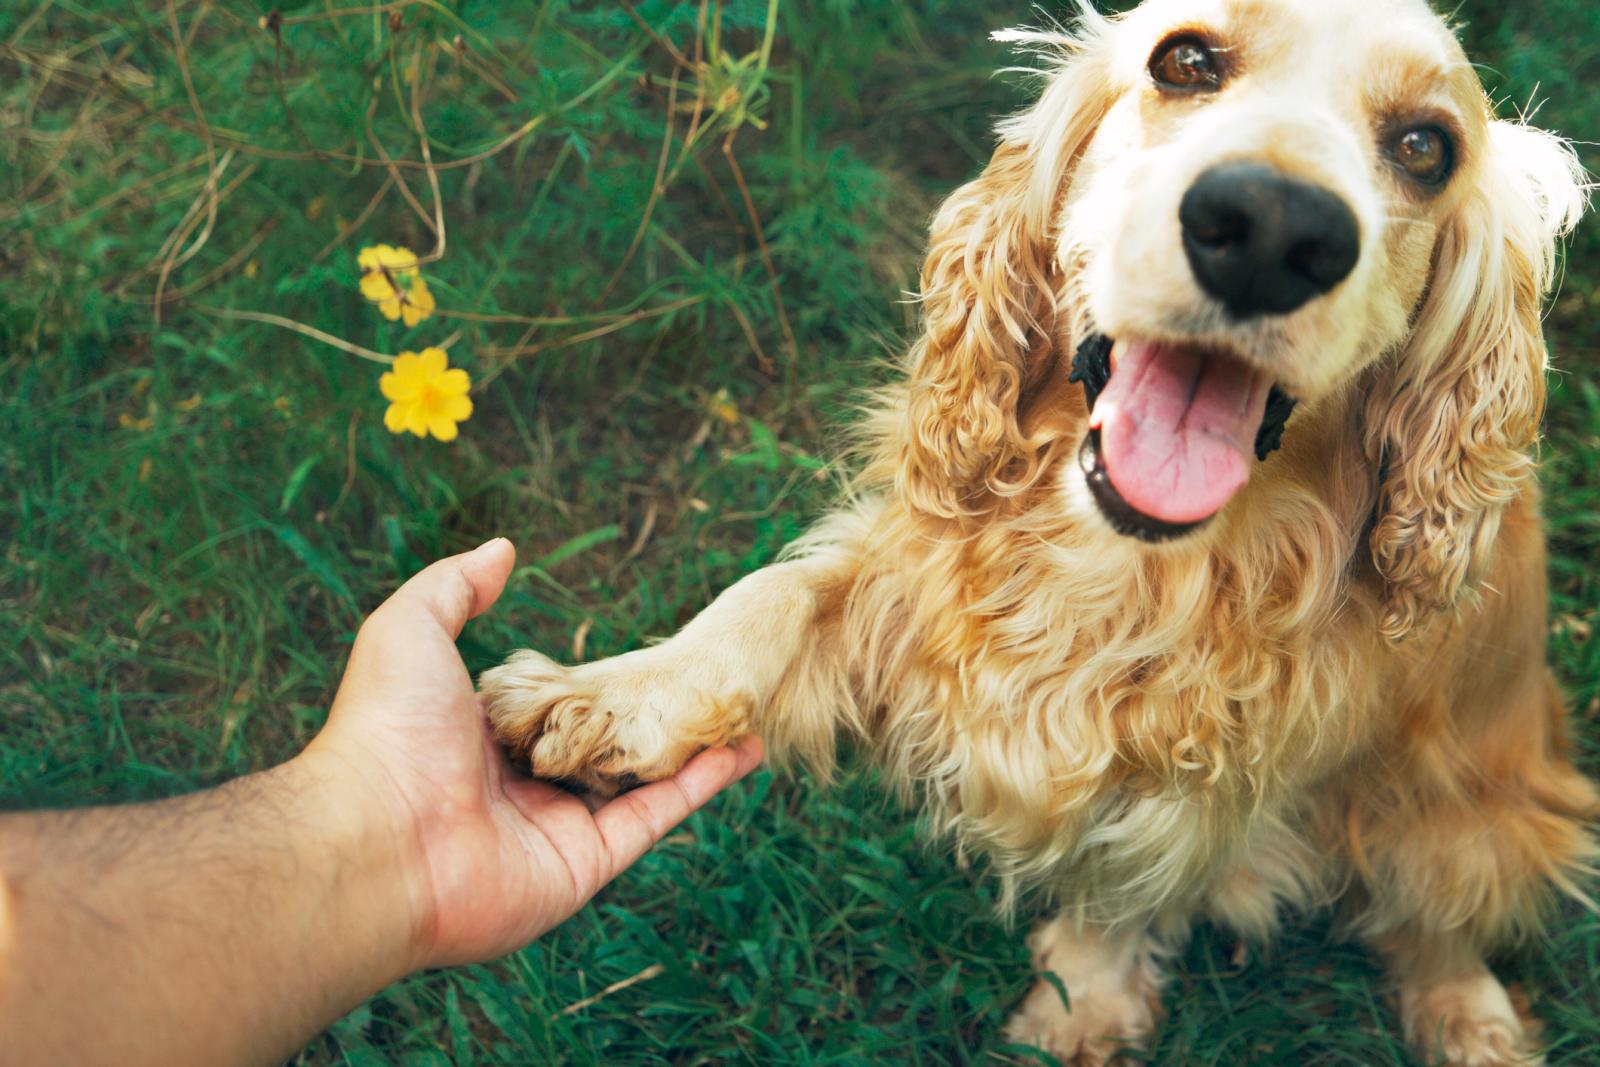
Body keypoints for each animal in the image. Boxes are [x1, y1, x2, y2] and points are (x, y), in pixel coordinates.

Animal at [480, 4, 1593, 1062]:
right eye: (1186, 61)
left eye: (1425, 147)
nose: (1273, 230)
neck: (1129, 562)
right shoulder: (926, 574)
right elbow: (768, 592)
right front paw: (612, 695)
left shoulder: (1207, 766)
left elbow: (1128, 870)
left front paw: (1083, 997)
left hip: (1463, 810)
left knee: (1440, 917)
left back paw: (1469, 1014)